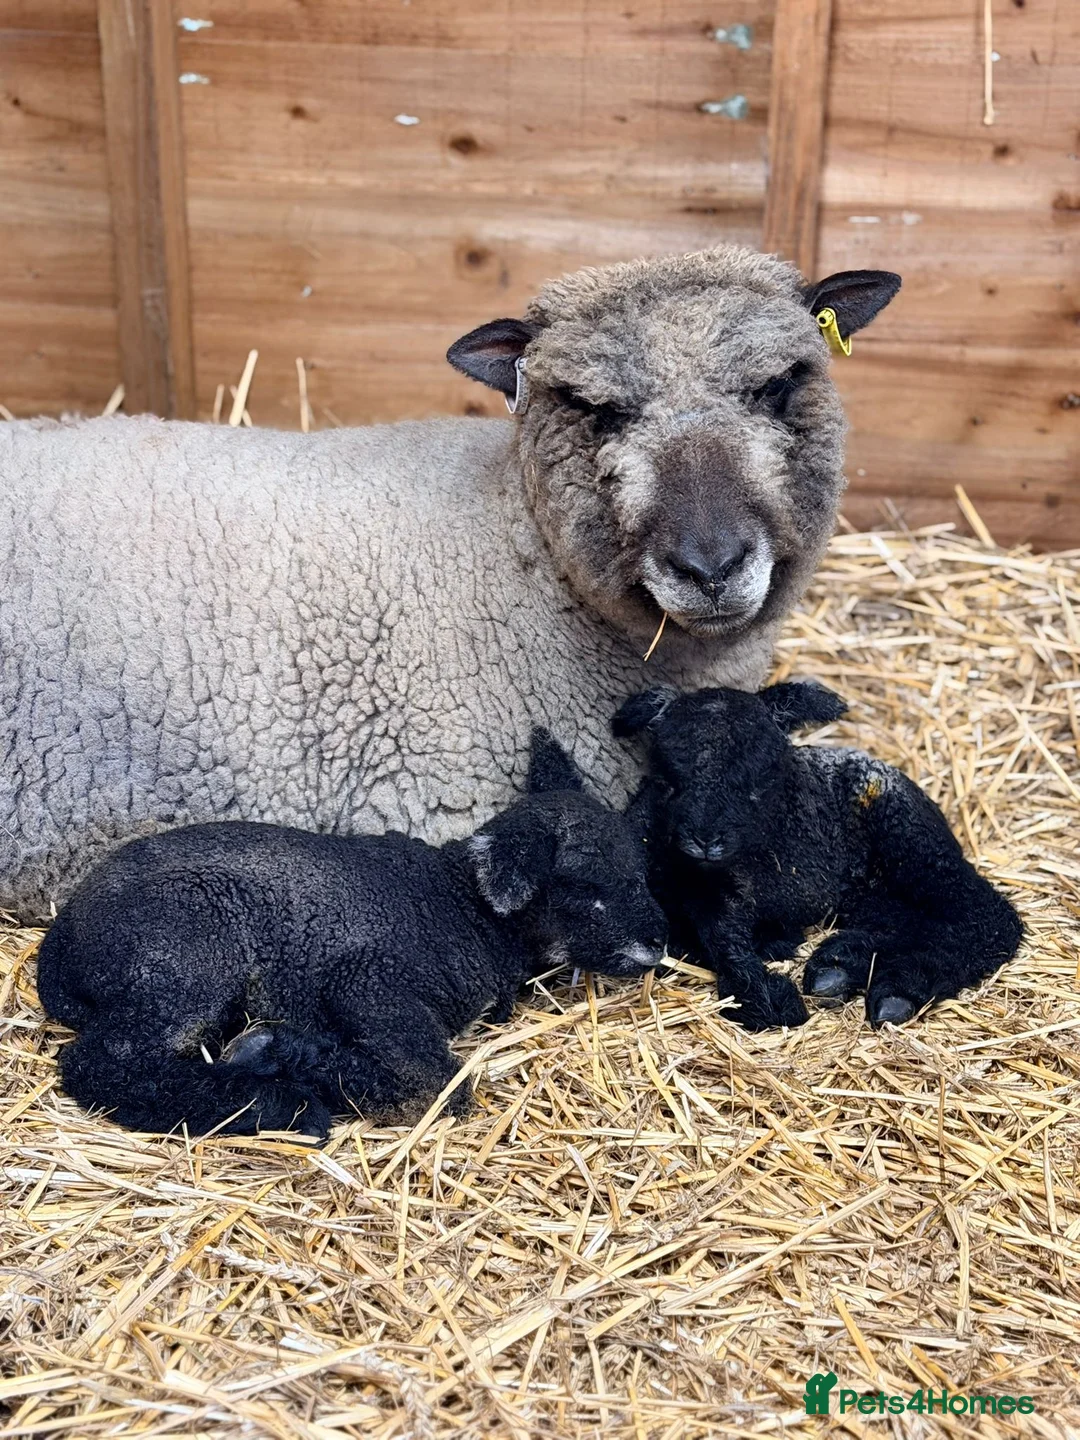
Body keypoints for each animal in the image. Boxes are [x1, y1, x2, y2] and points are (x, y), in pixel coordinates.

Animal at [35, 731, 668, 1139]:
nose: (659, 944)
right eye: (584, 885)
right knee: (103, 1062)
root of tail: (60, 943)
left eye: (641, 867)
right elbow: (440, 1085)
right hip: (186, 955)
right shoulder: (366, 979)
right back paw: (273, 1105)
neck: (466, 908)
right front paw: (293, 1062)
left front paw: (283, 1051)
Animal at [613, 682, 1022, 1030]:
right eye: (669, 776)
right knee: (911, 920)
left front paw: (766, 1002)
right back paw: (840, 965)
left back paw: (897, 990)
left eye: (761, 775)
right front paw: (766, 987)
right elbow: (719, 938)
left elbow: (723, 940)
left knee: (987, 917)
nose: (704, 839)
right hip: (871, 889)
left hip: (912, 842)